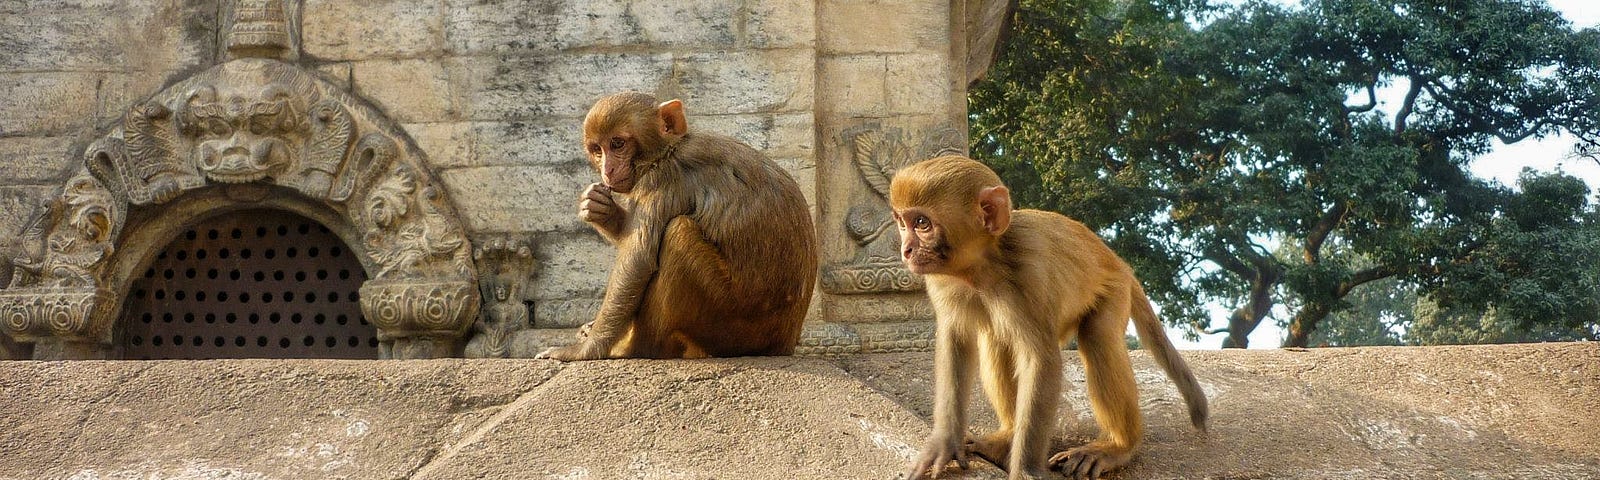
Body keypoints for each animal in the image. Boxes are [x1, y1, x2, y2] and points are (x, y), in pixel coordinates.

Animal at [537, 92, 819, 360]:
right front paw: (600, 209)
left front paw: (583, 350)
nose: (608, 169)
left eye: (617, 144)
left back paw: (639, 348)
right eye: (597, 149)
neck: (668, 150)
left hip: (732, 324)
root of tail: (786, 340)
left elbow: (637, 262)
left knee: (677, 234)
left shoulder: (660, 180)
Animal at [896, 156, 1203, 476]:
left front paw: (1026, 470)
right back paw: (1007, 436)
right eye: (901, 223)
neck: (983, 266)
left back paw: (1118, 447)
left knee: (1098, 337)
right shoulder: (942, 280)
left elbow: (1041, 361)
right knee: (995, 337)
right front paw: (945, 441)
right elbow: (956, 342)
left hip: (1115, 289)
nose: (906, 250)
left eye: (922, 223)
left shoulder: (1029, 274)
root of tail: (1118, 261)